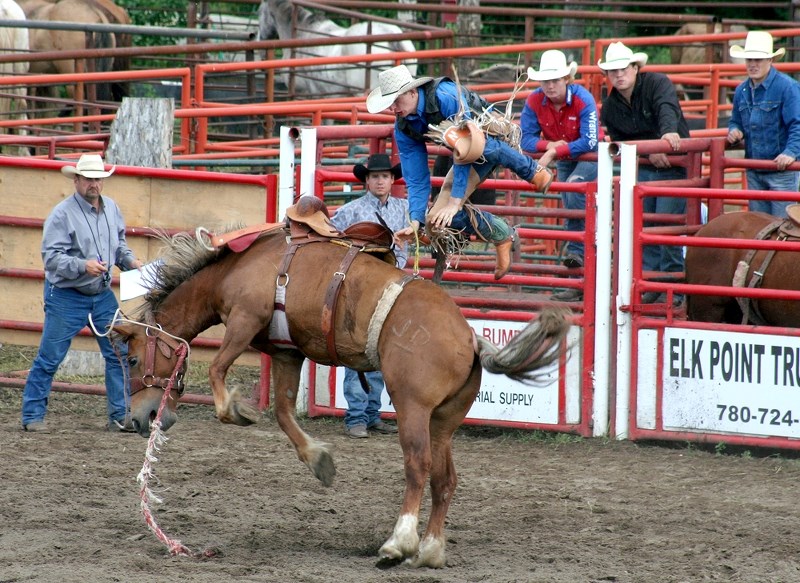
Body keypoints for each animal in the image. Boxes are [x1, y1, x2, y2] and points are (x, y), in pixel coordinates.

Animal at [114, 202, 568, 572]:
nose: (138, 419)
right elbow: (283, 413)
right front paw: (320, 461)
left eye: (132, 359)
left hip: (413, 408)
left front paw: (238, 410)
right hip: (444, 419)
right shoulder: (286, 352)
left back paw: (398, 543)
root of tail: (470, 338)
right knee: (444, 479)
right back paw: (431, 550)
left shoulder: (246, 316)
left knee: (417, 467)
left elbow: (218, 370)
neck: (236, 267)